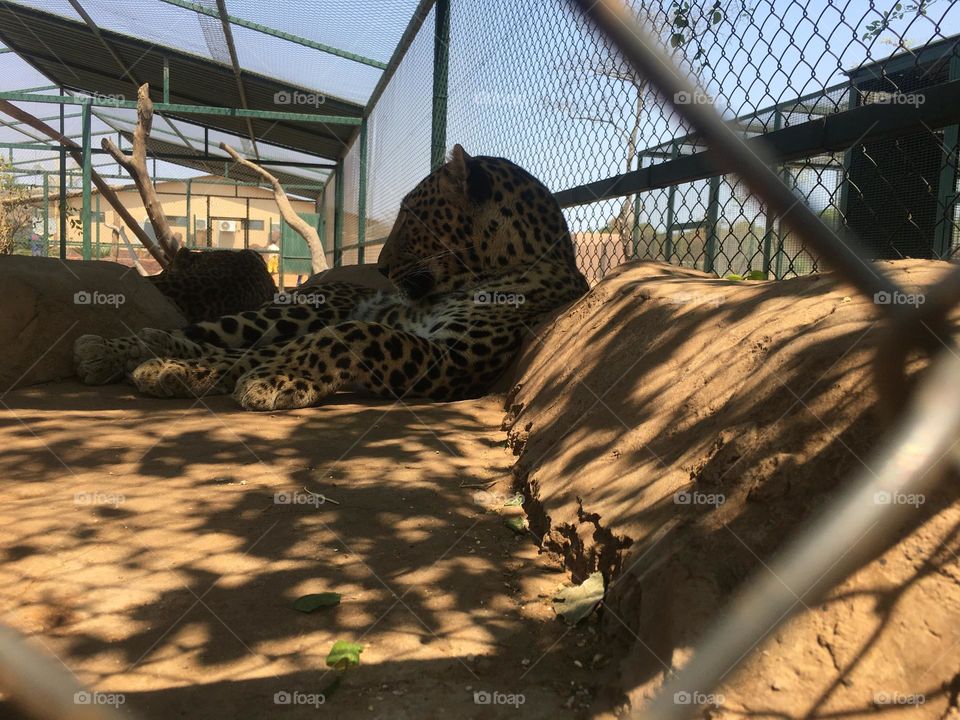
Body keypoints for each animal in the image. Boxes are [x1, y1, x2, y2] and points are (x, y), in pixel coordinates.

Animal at [73, 145, 589, 411]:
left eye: (411, 217)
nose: (381, 268)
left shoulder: (453, 360)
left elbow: (351, 335)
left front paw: (274, 378)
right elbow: (266, 350)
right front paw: (184, 370)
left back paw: (153, 353)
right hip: (294, 310)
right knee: (206, 332)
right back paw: (114, 349)